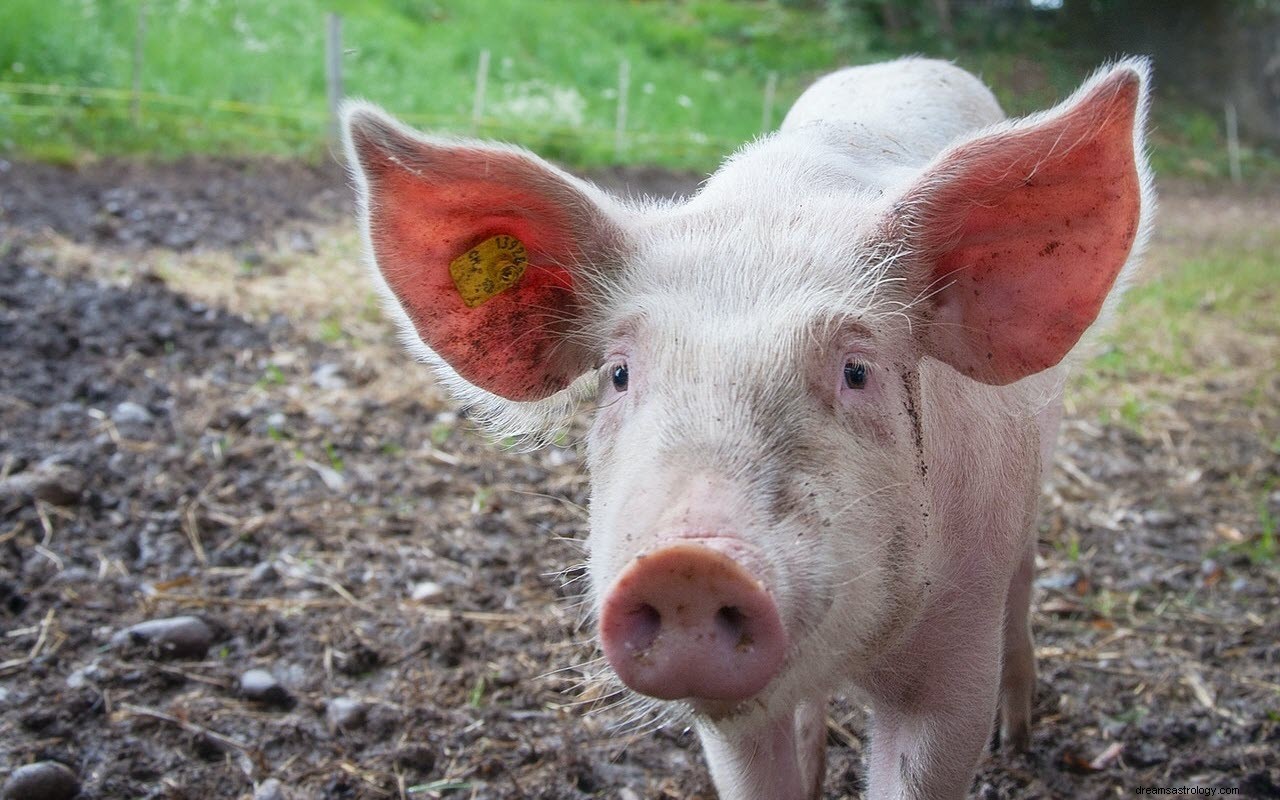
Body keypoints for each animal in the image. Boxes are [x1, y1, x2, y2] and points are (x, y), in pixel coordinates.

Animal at [340, 57, 1152, 798]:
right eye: (618, 374)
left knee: (1024, 582)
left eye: (857, 371)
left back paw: (1021, 736)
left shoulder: (956, 660)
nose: (688, 565)